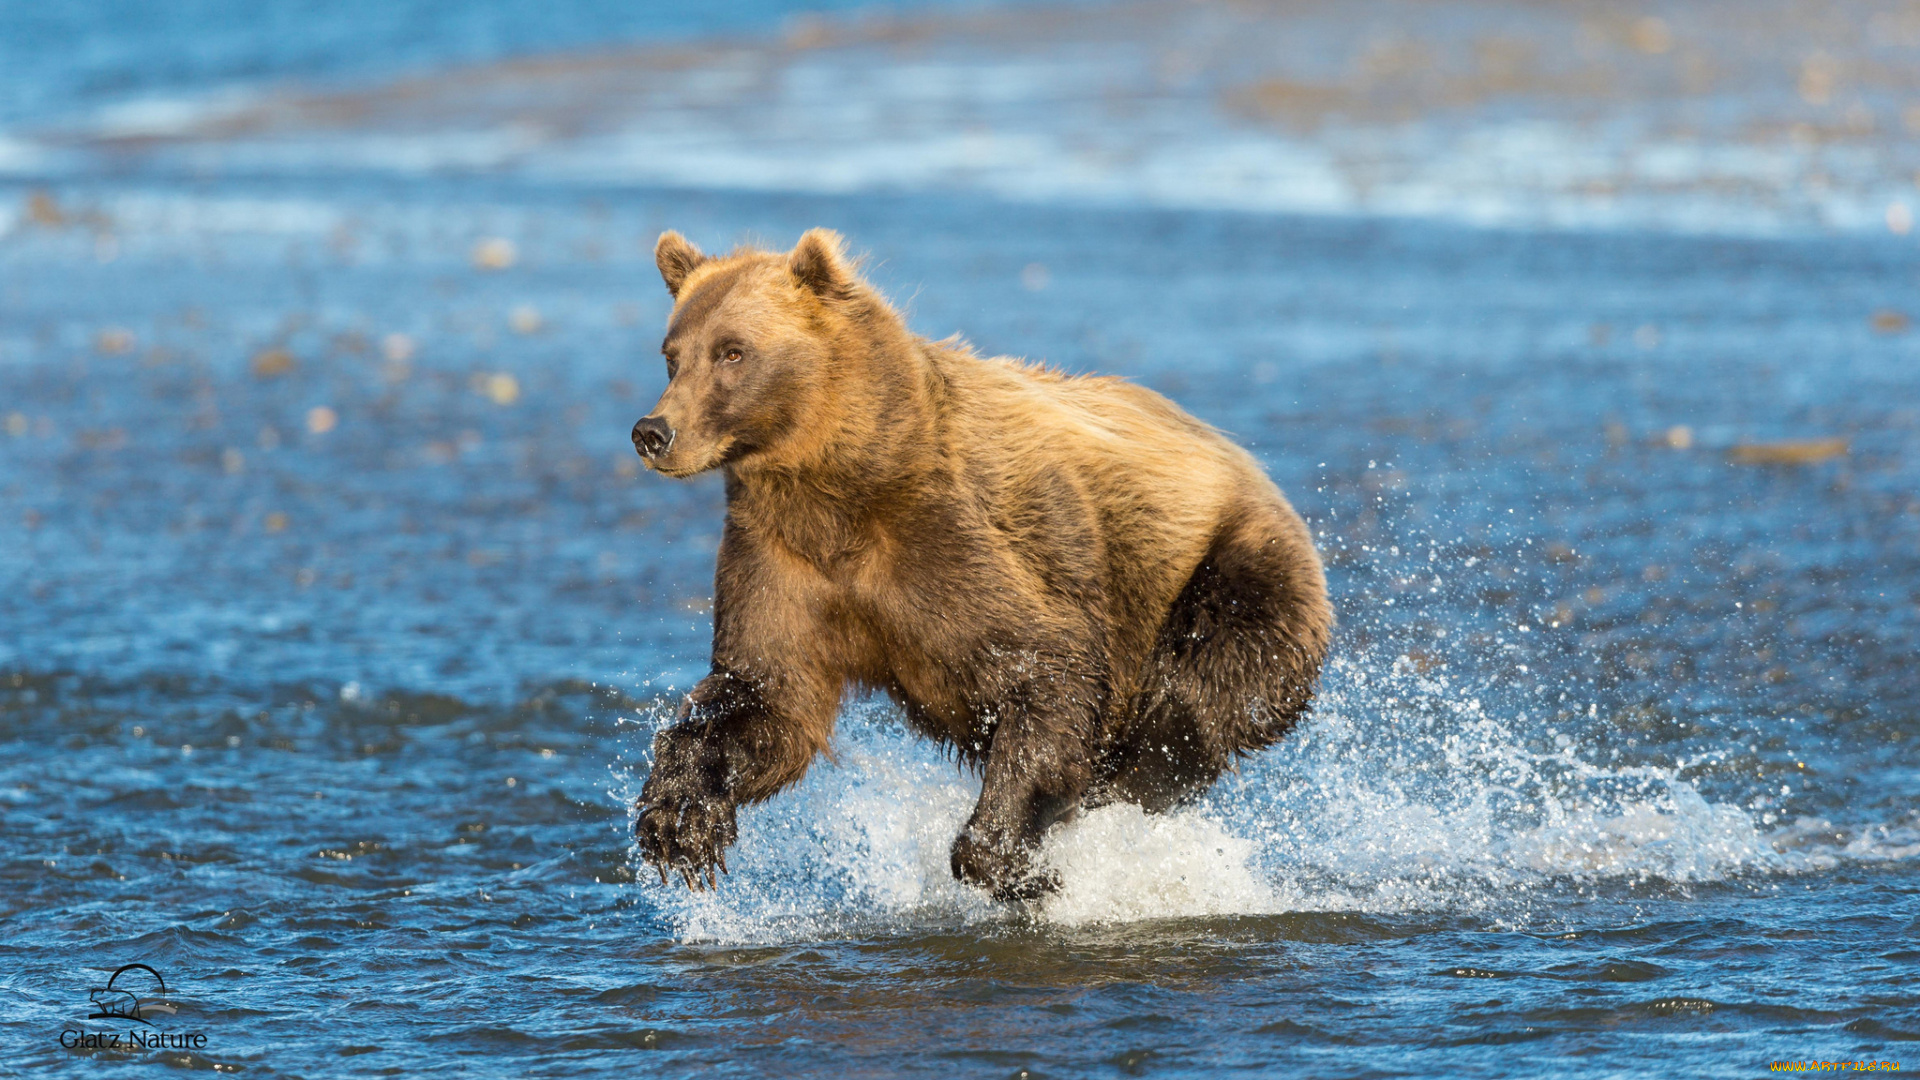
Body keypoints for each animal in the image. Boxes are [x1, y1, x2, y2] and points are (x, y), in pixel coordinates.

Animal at [629, 228, 1336, 899]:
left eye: (732, 352)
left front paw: (1016, 862)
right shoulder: (784, 558)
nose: (653, 432)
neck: (842, 490)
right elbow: (769, 697)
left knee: (1190, 697)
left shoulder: (955, 543)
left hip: (1233, 572)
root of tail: (1249, 463)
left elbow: (1047, 671)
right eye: (672, 354)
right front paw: (678, 821)